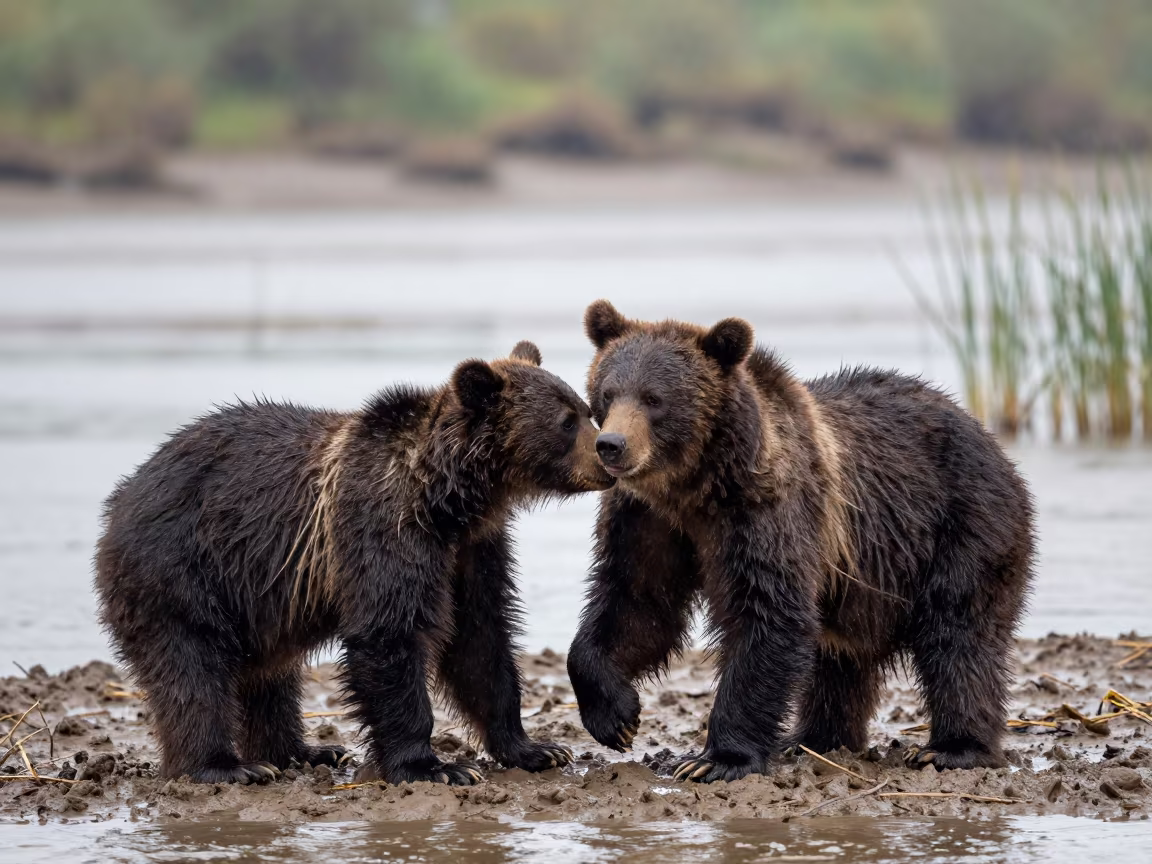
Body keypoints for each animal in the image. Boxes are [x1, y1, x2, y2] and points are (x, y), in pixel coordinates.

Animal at [96, 341, 612, 785]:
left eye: (586, 410)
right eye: (567, 422)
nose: (607, 455)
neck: (449, 500)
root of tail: (120, 499)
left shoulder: (472, 552)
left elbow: (480, 638)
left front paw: (538, 748)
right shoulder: (383, 530)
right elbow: (390, 634)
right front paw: (435, 767)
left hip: (256, 599)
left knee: (270, 677)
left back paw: (304, 751)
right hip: (180, 569)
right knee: (192, 665)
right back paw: (229, 766)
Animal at [566, 300, 1035, 782]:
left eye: (655, 398)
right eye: (608, 393)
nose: (612, 444)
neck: (695, 488)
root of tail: (990, 440)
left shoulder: (768, 512)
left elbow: (768, 614)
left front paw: (715, 758)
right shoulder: (648, 520)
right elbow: (636, 602)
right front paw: (615, 715)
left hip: (961, 524)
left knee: (958, 632)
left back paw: (951, 748)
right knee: (840, 660)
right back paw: (816, 739)